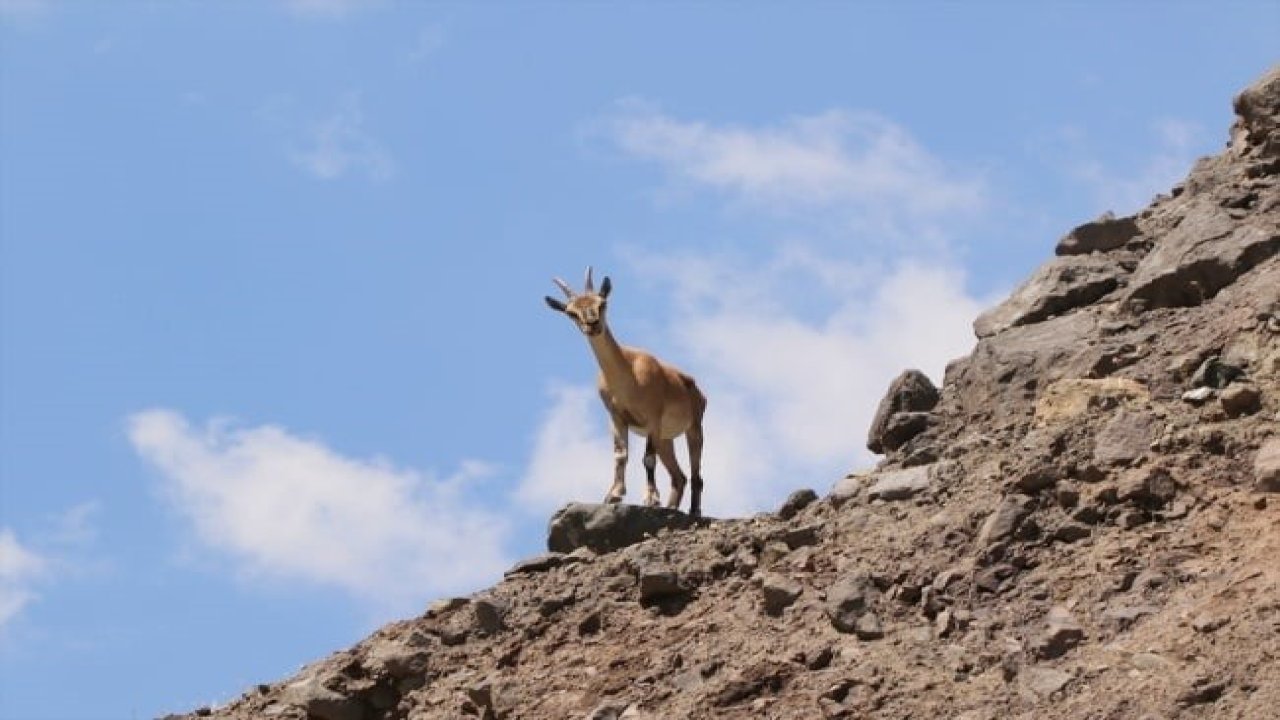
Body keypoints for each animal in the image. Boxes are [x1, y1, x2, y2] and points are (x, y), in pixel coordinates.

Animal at [545, 266, 711, 512]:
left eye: (602, 303)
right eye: (571, 312)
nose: (592, 323)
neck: (628, 377)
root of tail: (697, 390)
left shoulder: (653, 417)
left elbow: (647, 459)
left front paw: (650, 498)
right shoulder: (616, 417)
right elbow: (620, 454)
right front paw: (613, 494)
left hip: (694, 427)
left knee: (695, 474)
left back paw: (693, 510)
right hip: (666, 440)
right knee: (678, 477)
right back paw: (671, 507)